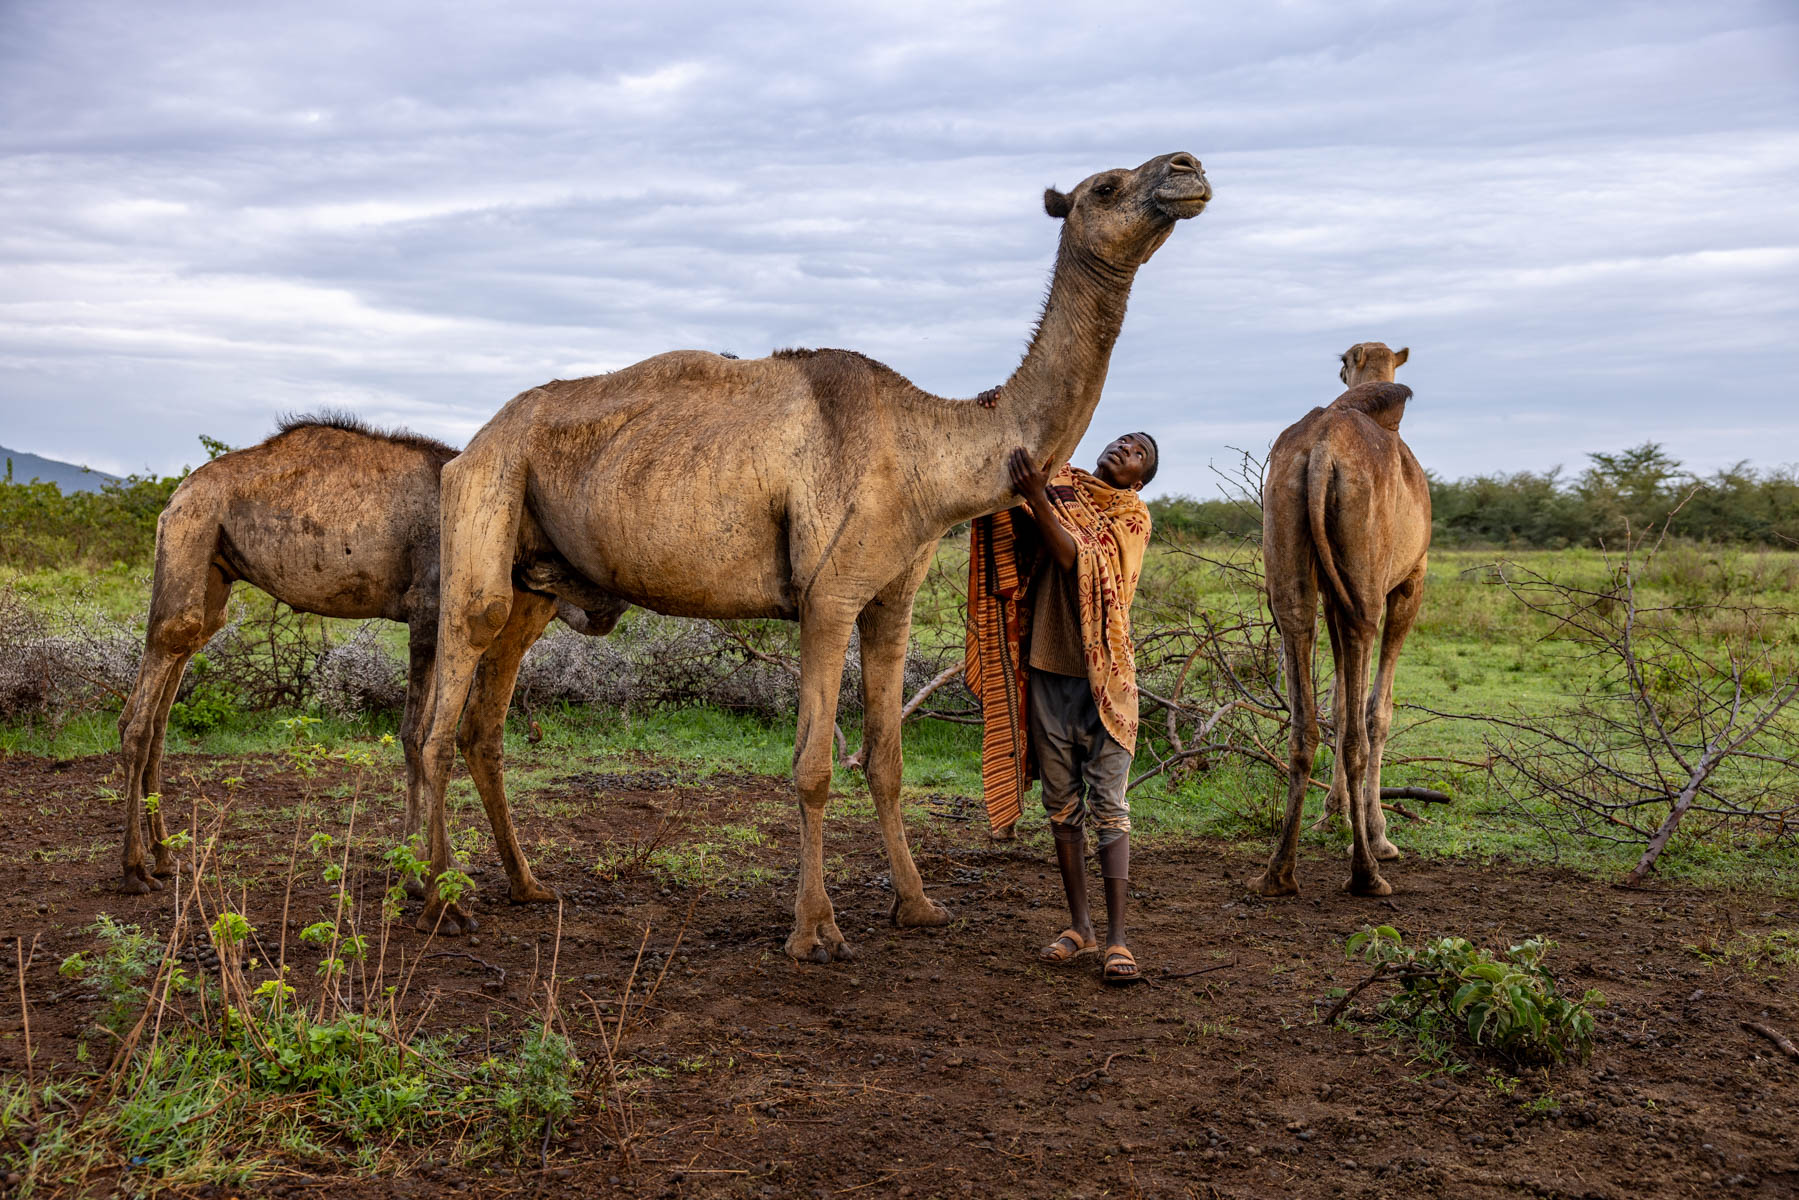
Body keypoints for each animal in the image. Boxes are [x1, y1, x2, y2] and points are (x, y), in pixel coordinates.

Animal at [115, 414, 626, 897]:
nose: (609, 604)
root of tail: (174, 499)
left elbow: (423, 732)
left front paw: (444, 867)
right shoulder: (427, 606)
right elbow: (415, 734)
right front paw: (418, 875)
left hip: (212, 573)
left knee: (158, 698)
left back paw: (165, 857)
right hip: (192, 533)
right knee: (148, 702)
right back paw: (135, 870)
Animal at [412, 152, 1212, 955]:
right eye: (1105, 187)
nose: (1189, 168)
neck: (931, 450)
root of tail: (473, 443)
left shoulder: (892, 597)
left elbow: (887, 760)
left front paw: (917, 904)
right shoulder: (829, 595)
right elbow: (813, 766)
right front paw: (814, 929)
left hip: (537, 580)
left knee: (484, 723)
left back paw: (521, 885)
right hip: (487, 501)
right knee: (440, 713)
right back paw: (441, 902)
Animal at [1251, 343, 1429, 898]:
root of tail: (1322, 451)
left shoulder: (1334, 595)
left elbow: (1337, 702)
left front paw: (1333, 813)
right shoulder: (1410, 580)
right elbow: (1376, 711)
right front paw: (1378, 832)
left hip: (1288, 545)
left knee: (1303, 710)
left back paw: (1278, 873)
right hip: (1369, 591)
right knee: (1358, 727)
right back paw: (1366, 871)